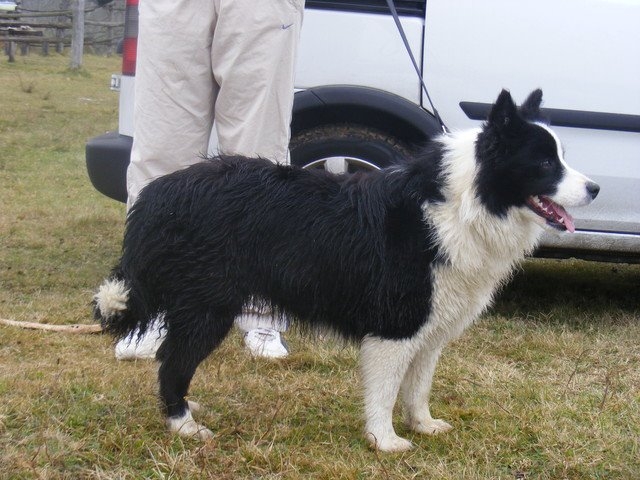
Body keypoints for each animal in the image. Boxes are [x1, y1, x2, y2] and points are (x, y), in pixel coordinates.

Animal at [94, 90, 599, 452]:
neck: (463, 205)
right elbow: (385, 390)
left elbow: (418, 387)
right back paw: (183, 425)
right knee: (171, 362)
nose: (594, 188)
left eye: (563, 156)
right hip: (207, 307)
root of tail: (162, 192)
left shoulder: (432, 328)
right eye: (544, 162)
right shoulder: (395, 326)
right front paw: (385, 441)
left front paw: (423, 425)